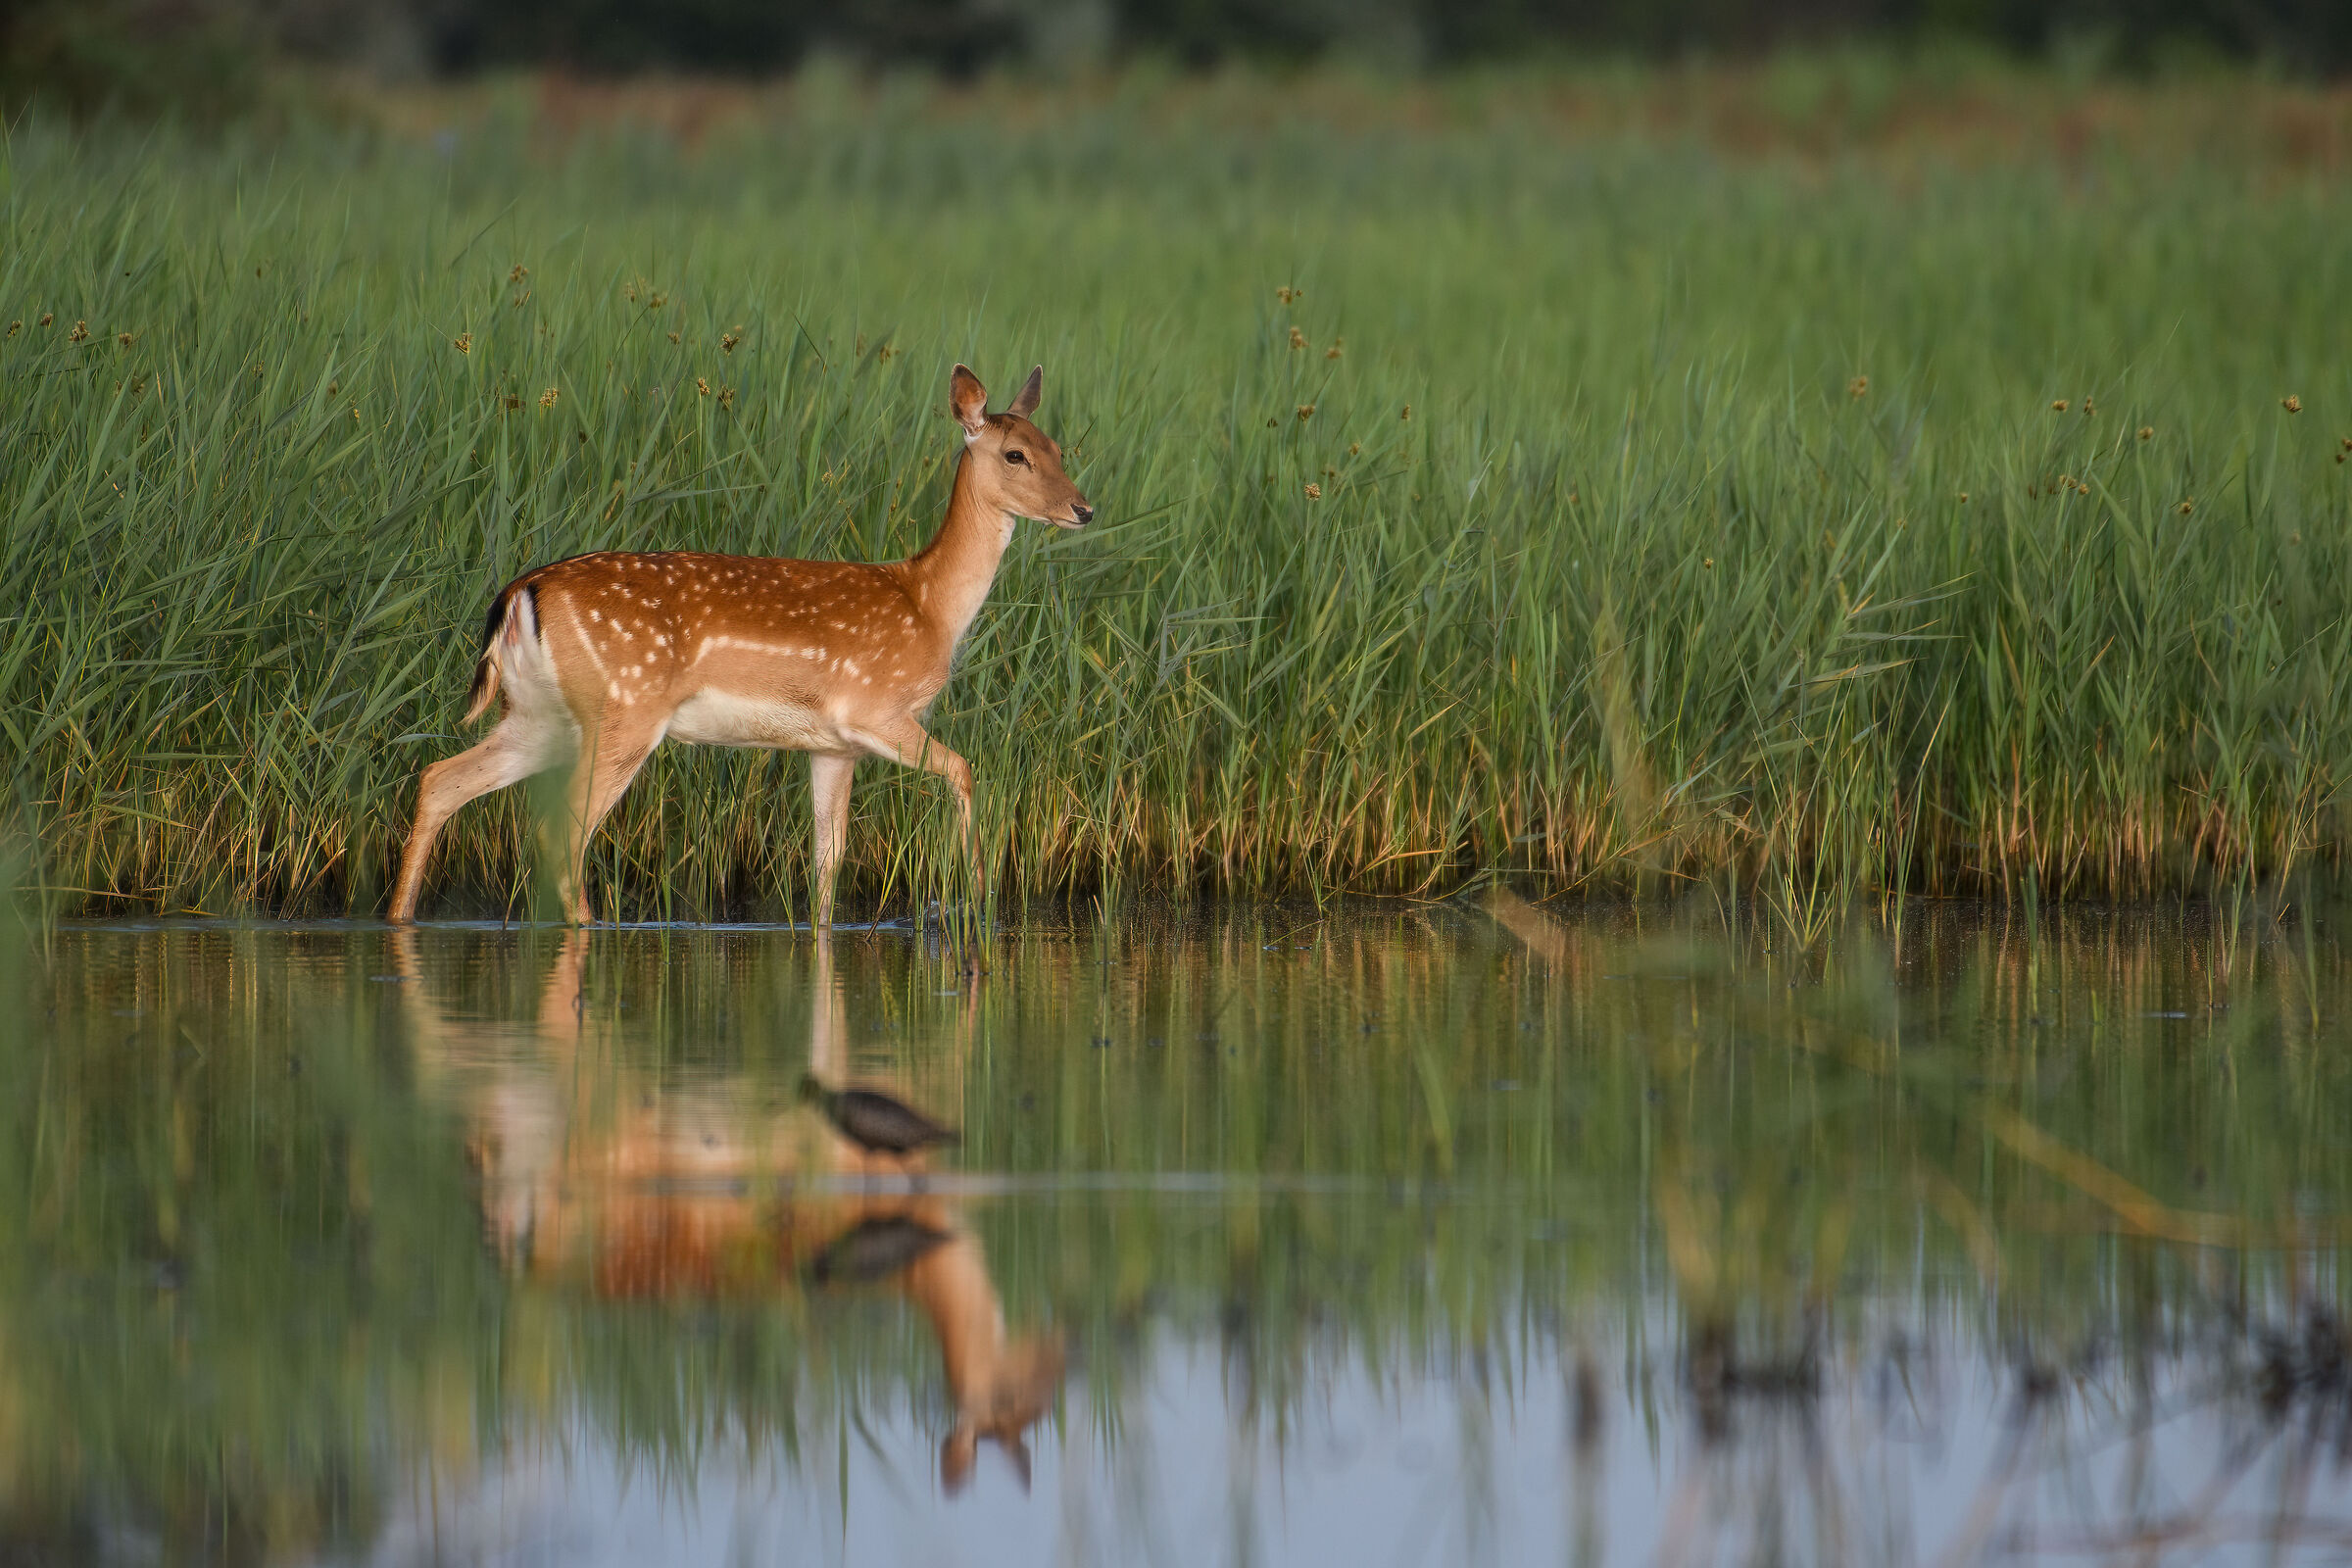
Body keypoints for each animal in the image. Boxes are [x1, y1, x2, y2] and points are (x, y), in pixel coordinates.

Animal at [387, 363, 1091, 927]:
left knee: (440, 780)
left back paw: (400, 917)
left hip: (539, 714)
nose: (1083, 509)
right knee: (559, 829)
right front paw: (979, 902)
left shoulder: (831, 746)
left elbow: (827, 865)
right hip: (625, 708)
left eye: (1058, 447)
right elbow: (966, 771)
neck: (928, 606)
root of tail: (520, 592)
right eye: (1016, 455)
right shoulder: (873, 710)